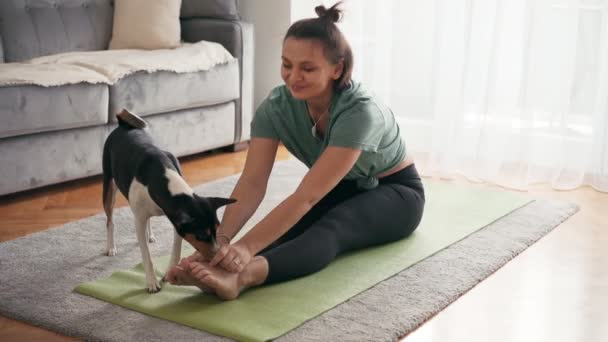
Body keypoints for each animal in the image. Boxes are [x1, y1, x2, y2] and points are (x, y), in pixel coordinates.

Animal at [102, 110, 235, 294]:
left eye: (217, 230)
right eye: (202, 235)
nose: (217, 256)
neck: (161, 178)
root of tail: (123, 125)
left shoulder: (175, 223)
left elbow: (176, 250)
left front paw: (169, 271)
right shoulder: (142, 219)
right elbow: (146, 256)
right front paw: (152, 282)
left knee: (147, 222)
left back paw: (149, 236)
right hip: (109, 186)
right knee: (110, 221)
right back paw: (111, 247)